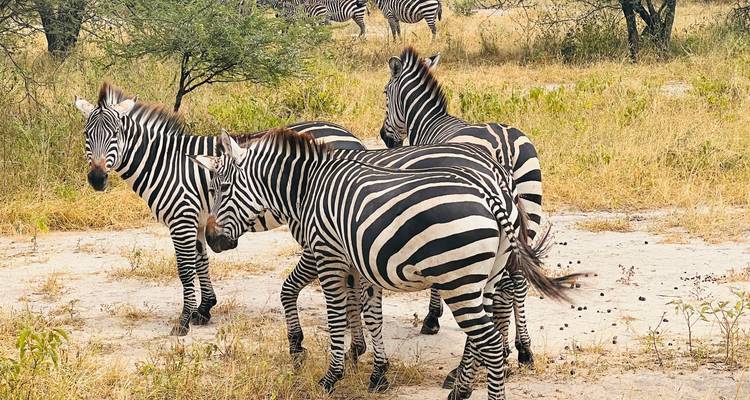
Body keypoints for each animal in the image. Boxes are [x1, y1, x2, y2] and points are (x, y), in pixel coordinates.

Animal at [191, 129, 575, 400]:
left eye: (223, 187)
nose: (211, 239)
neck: (309, 188)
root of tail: (493, 190)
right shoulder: (362, 260)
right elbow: (370, 314)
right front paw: (376, 371)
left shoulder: (326, 254)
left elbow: (329, 315)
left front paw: (323, 370)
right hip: (486, 274)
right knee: (488, 324)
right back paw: (462, 386)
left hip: (460, 281)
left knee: (490, 341)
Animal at [379, 46, 545, 368]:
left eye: (384, 93)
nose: (386, 138)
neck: (429, 123)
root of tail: (504, 142)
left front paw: (431, 319)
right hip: (529, 208)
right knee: (517, 281)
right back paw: (523, 349)